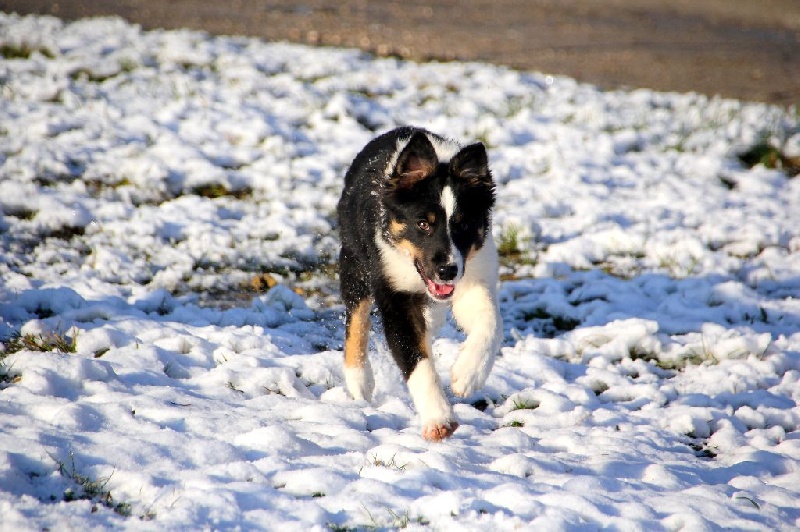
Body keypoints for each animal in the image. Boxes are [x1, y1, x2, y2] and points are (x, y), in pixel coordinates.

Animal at [336, 125, 500, 440]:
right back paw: (359, 380)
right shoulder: (395, 294)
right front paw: (439, 419)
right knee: (356, 315)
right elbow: (415, 358)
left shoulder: (474, 277)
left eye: (463, 225)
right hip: (354, 258)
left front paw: (468, 375)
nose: (447, 270)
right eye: (423, 224)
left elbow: (491, 324)